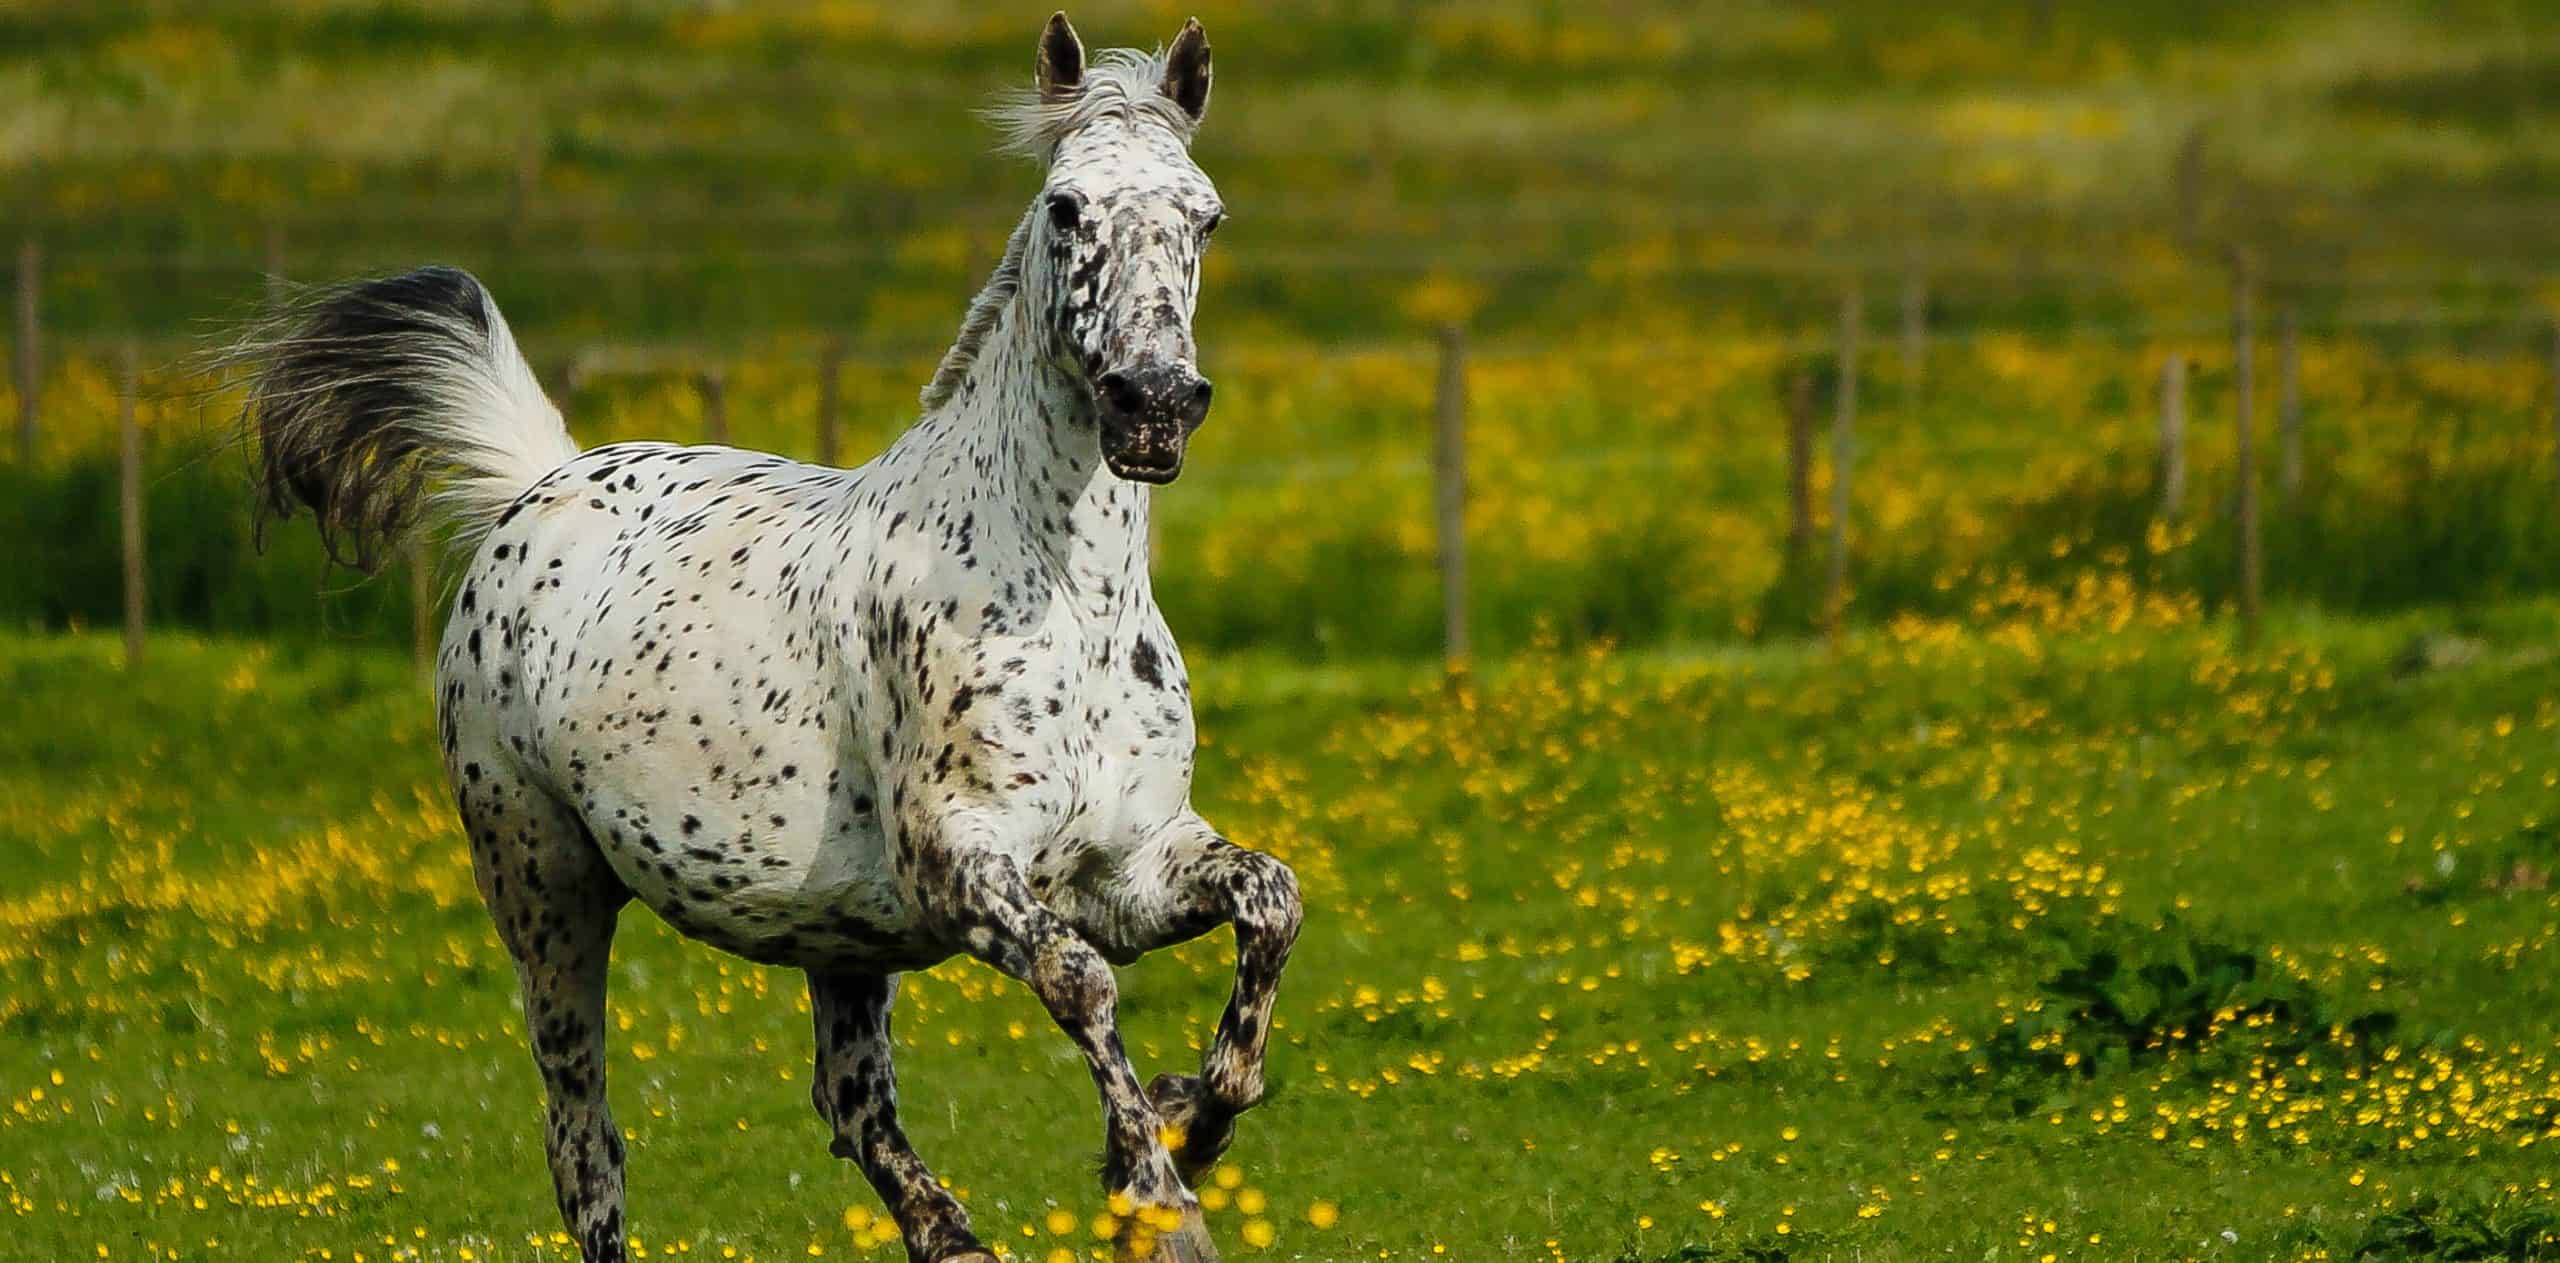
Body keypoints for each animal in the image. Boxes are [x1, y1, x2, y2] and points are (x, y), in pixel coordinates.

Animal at [225, 14, 1300, 1255]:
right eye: (1066, 208)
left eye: (1204, 215)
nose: (1154, 404)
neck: (1059, 600)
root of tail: (541, 481)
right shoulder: (962, 867)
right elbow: (1081, 980)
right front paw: (1156, 1197)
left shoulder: (1130, 866)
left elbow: (1269, 899)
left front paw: (1187, 1123)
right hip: (543, 890)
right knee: (584, 1145)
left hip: (839, 939)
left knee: (851, 1104)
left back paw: (955, 1233)